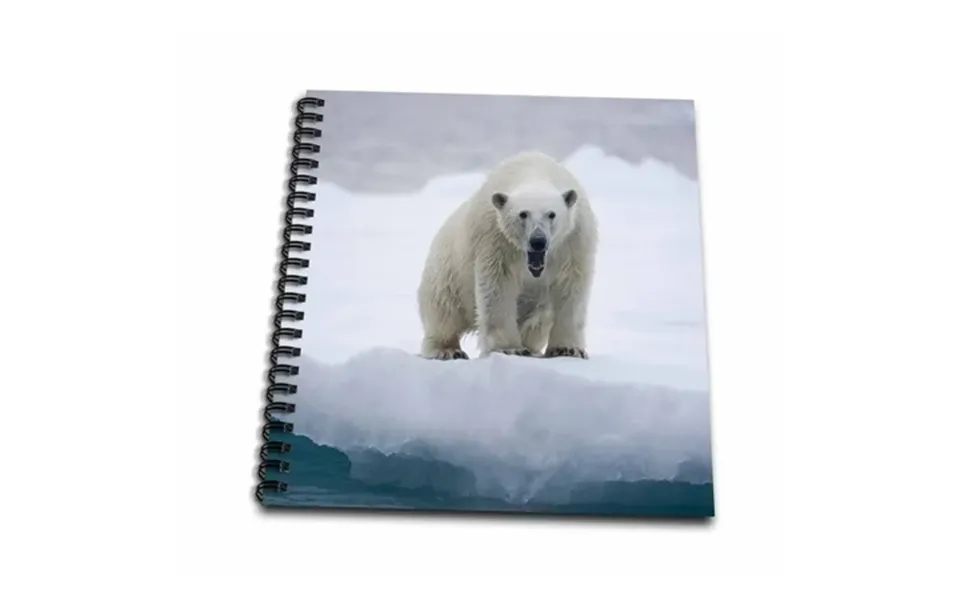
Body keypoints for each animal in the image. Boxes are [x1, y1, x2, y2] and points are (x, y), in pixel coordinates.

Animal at [416, 150, 598, 360]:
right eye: (523, 214)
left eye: (552, 214)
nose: (538, 241)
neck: (534, 171)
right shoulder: (495, 237)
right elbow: (498, 286)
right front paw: (510, 348)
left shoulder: (574, 239)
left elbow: (571, 286)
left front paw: (567, 349)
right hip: (448, 272)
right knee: (444, 310)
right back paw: (447, 350)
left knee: (537, 321)